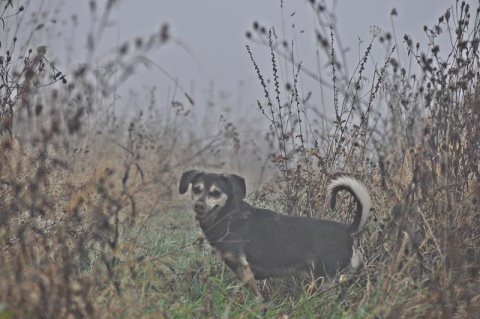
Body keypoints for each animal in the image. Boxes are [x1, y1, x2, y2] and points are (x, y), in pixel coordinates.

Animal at [179, 171, 372, 302]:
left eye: (216, 193)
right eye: (196, 189)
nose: (198, 206)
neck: (228, 216)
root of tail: (349, 230)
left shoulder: (244, 269)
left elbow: (256, 297)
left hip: (323, 281)